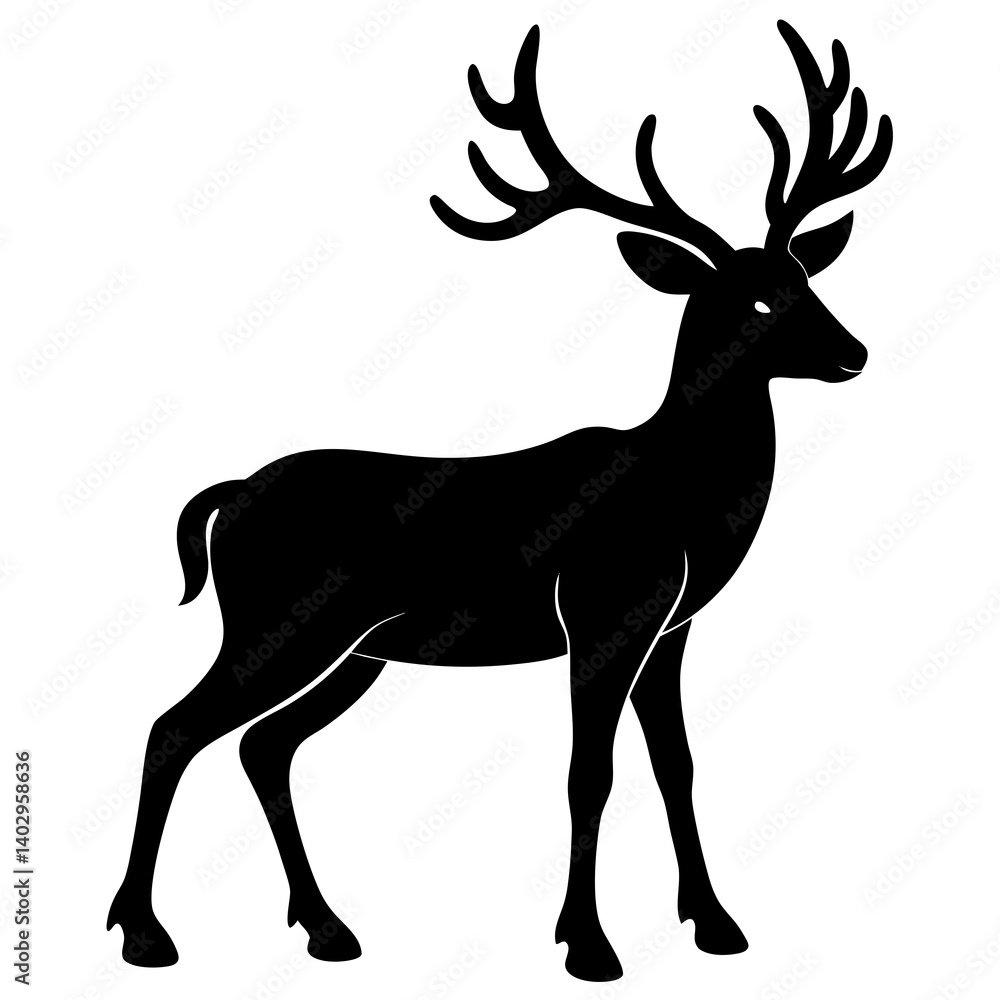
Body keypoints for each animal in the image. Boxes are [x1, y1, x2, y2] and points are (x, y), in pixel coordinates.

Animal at [106, 20, 891, 982]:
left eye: (806, 279)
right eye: (752, 300)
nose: (854, 352)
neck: (684, 499)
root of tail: (228, 499)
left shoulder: (671, 626)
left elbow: (677, 764)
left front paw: (715, 923)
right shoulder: (603, 609)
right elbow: (590, 772)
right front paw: (587, 945)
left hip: (357, 647)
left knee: (264, 744)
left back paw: (327, 928)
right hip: (279, 621)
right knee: (174, 727)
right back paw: (145, 934)